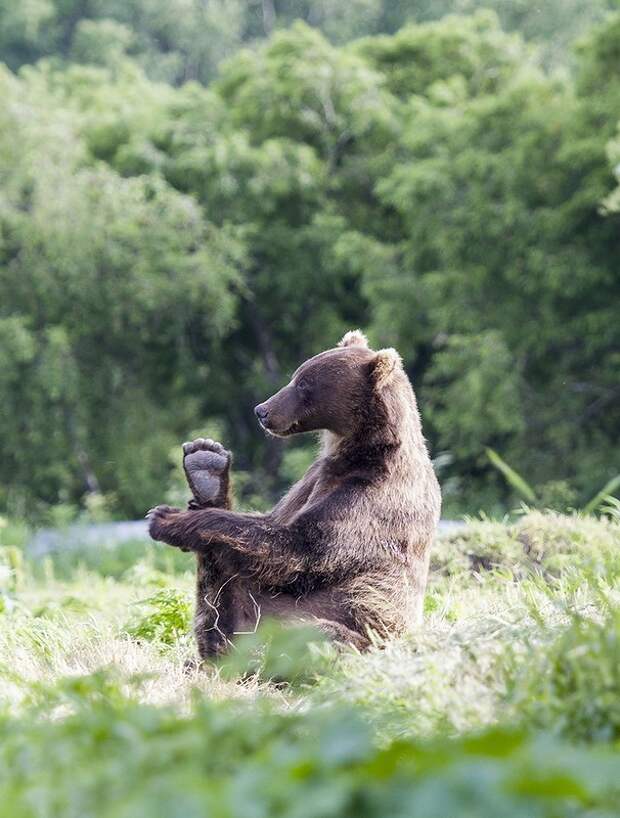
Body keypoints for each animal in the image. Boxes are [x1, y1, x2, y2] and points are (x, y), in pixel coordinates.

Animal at [148, 328, 440, 652]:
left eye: (304, 384)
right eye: (296, 375)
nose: (262, 410)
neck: (357, 452)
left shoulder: (369, 497)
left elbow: (299, 548)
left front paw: (166, 518)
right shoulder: (312, 480)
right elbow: (269, 522)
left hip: (358, 631)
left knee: (312, 635)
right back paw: (205, 466)